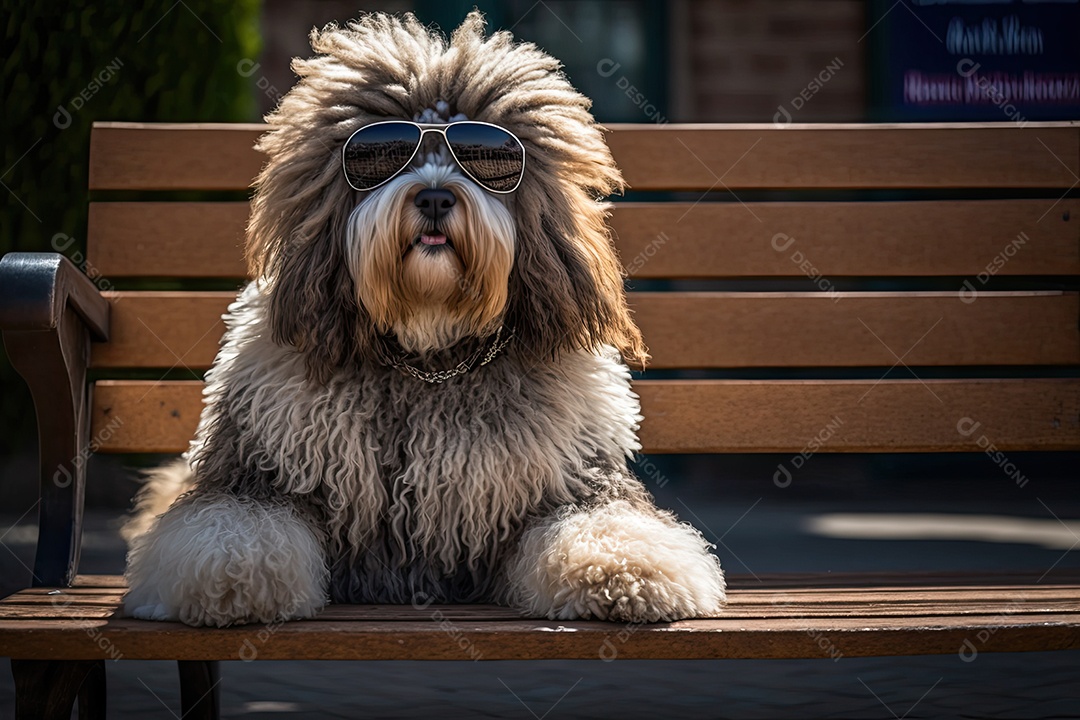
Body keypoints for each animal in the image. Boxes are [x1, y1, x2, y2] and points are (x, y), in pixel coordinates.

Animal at [124, 12, 725, 630]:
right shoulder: (259, 471)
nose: (435, 197)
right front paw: (228, 581)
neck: (429, 353)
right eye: (385, 156)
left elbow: (603, 523)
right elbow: (234, 529)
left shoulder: (571, 480)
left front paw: (626, 572)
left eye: (484, 161)